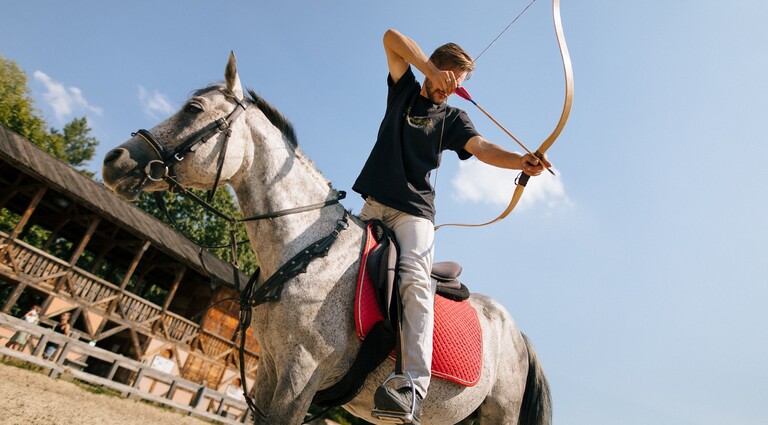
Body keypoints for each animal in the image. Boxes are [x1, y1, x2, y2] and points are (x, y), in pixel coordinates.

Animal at [102, 53, 552, 424]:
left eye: (193, 109)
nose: (113, 160)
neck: (307, 251)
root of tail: (519, 337)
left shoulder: (301, 374)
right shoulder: (270, 368)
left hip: (499, 414)